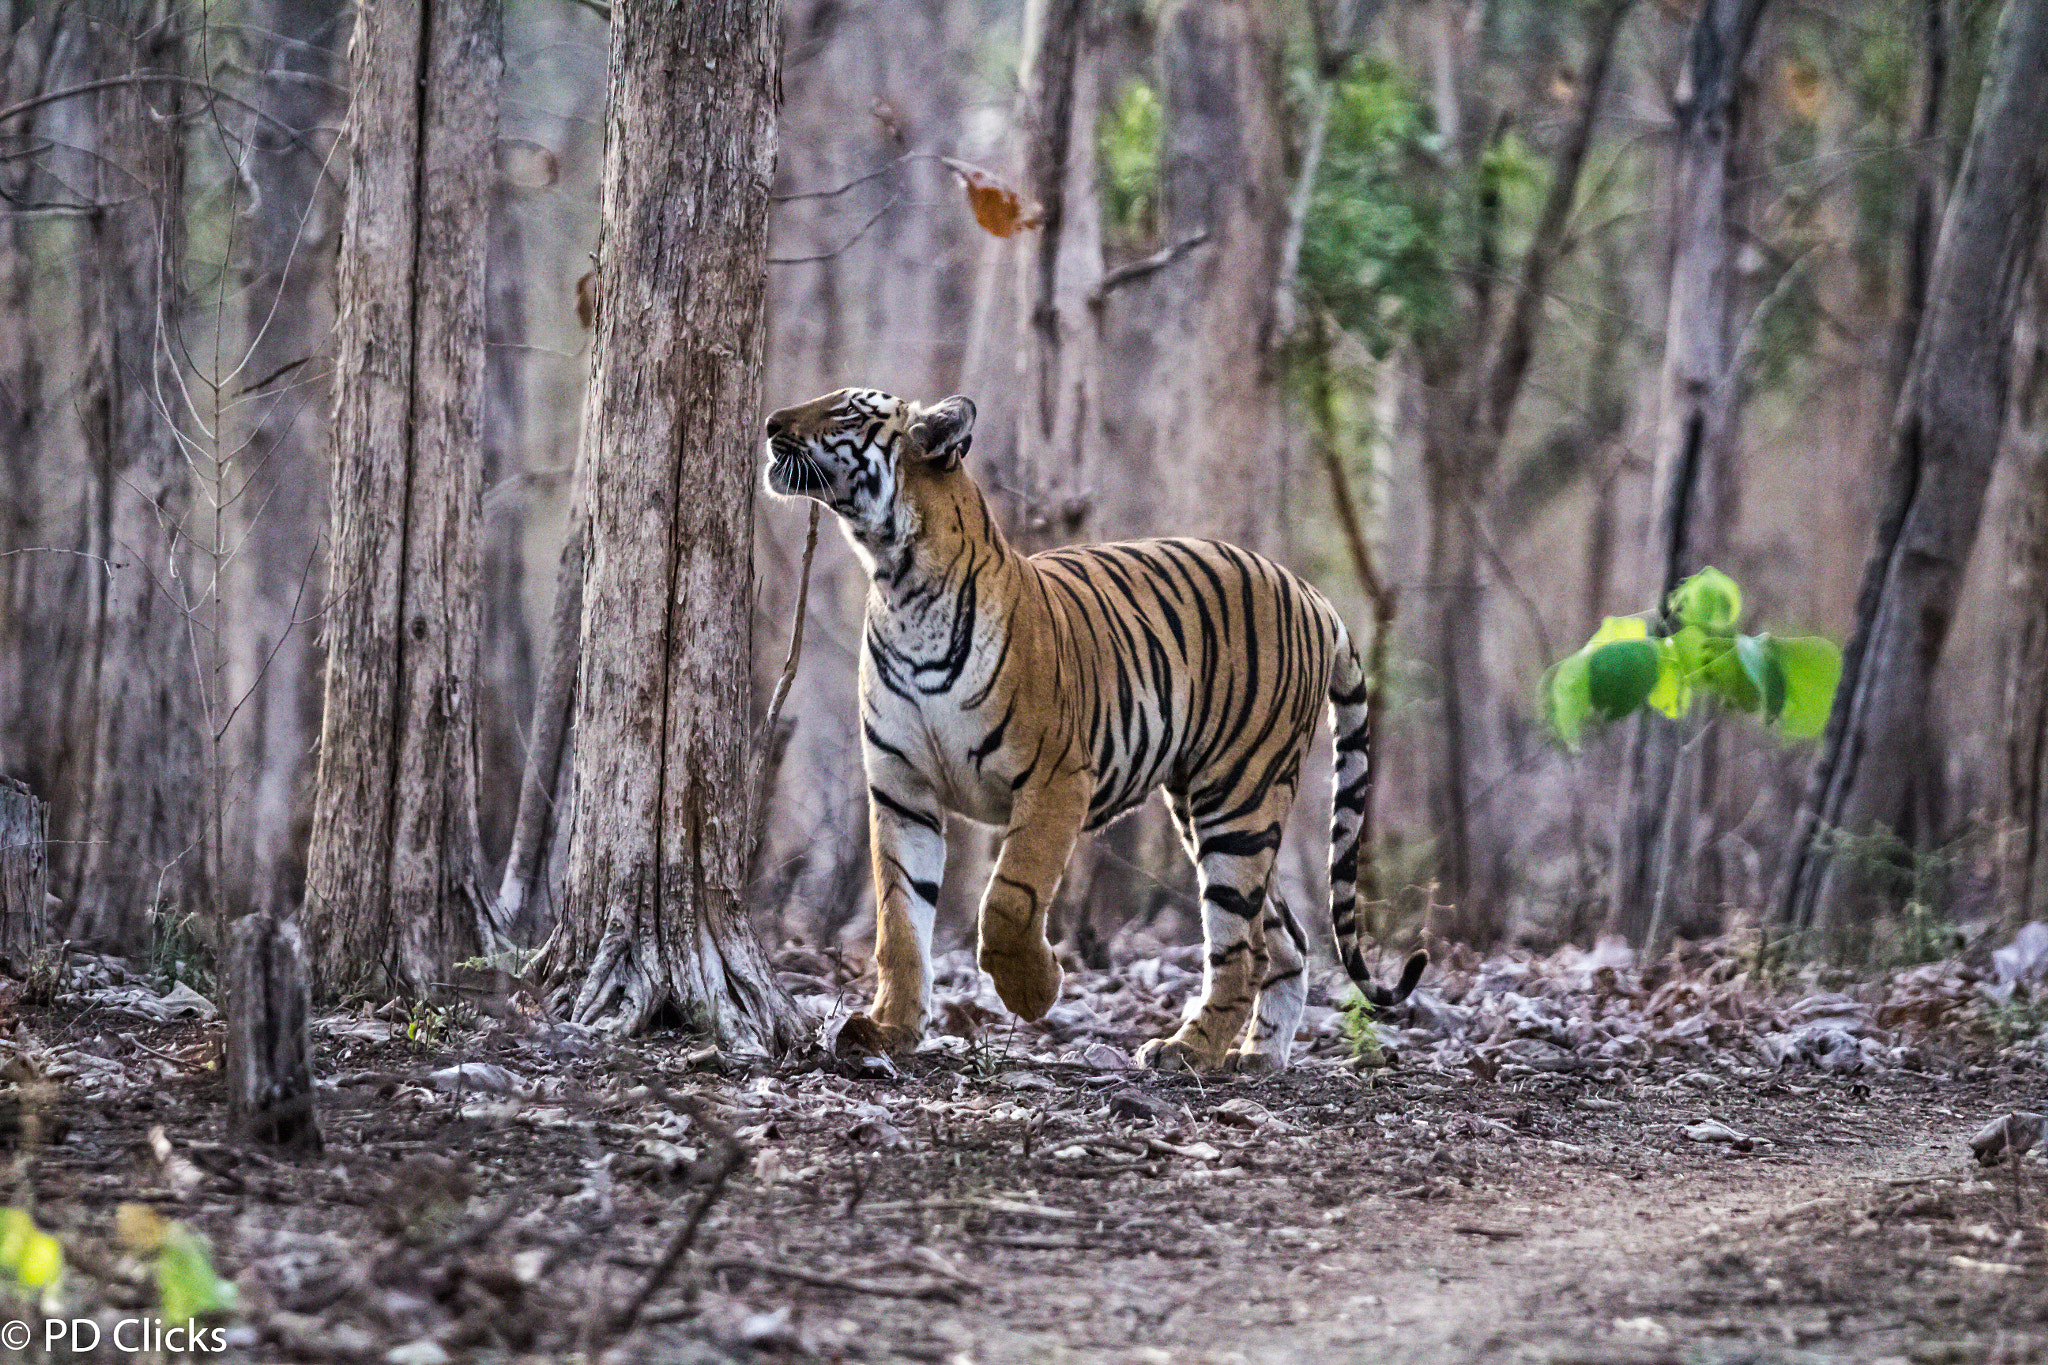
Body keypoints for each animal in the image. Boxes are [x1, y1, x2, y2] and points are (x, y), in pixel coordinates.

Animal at [762, 387, 1426, 1072]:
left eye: (846, 412)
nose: (770, 424)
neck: (899, 582)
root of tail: (1311, 593)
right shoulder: (901, 789)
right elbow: (899, 920)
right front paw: (890, 1029)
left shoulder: (1055, 778)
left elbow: (1009, 898)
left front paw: (1034, 992)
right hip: (1209, 806)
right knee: (1285, 938)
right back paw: (1257, 1055)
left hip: (1239, 796)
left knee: (1243, 947)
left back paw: (1188, 1049)